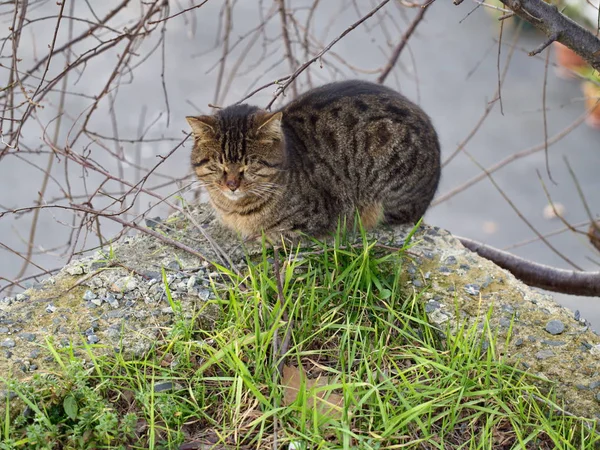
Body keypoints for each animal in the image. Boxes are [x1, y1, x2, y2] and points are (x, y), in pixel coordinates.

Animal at [188, 81, 440, 243]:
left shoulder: (313, 219)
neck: (234, 209)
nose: (232, 185)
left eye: (249, 165)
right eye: (218, 165)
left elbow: (273, 235)